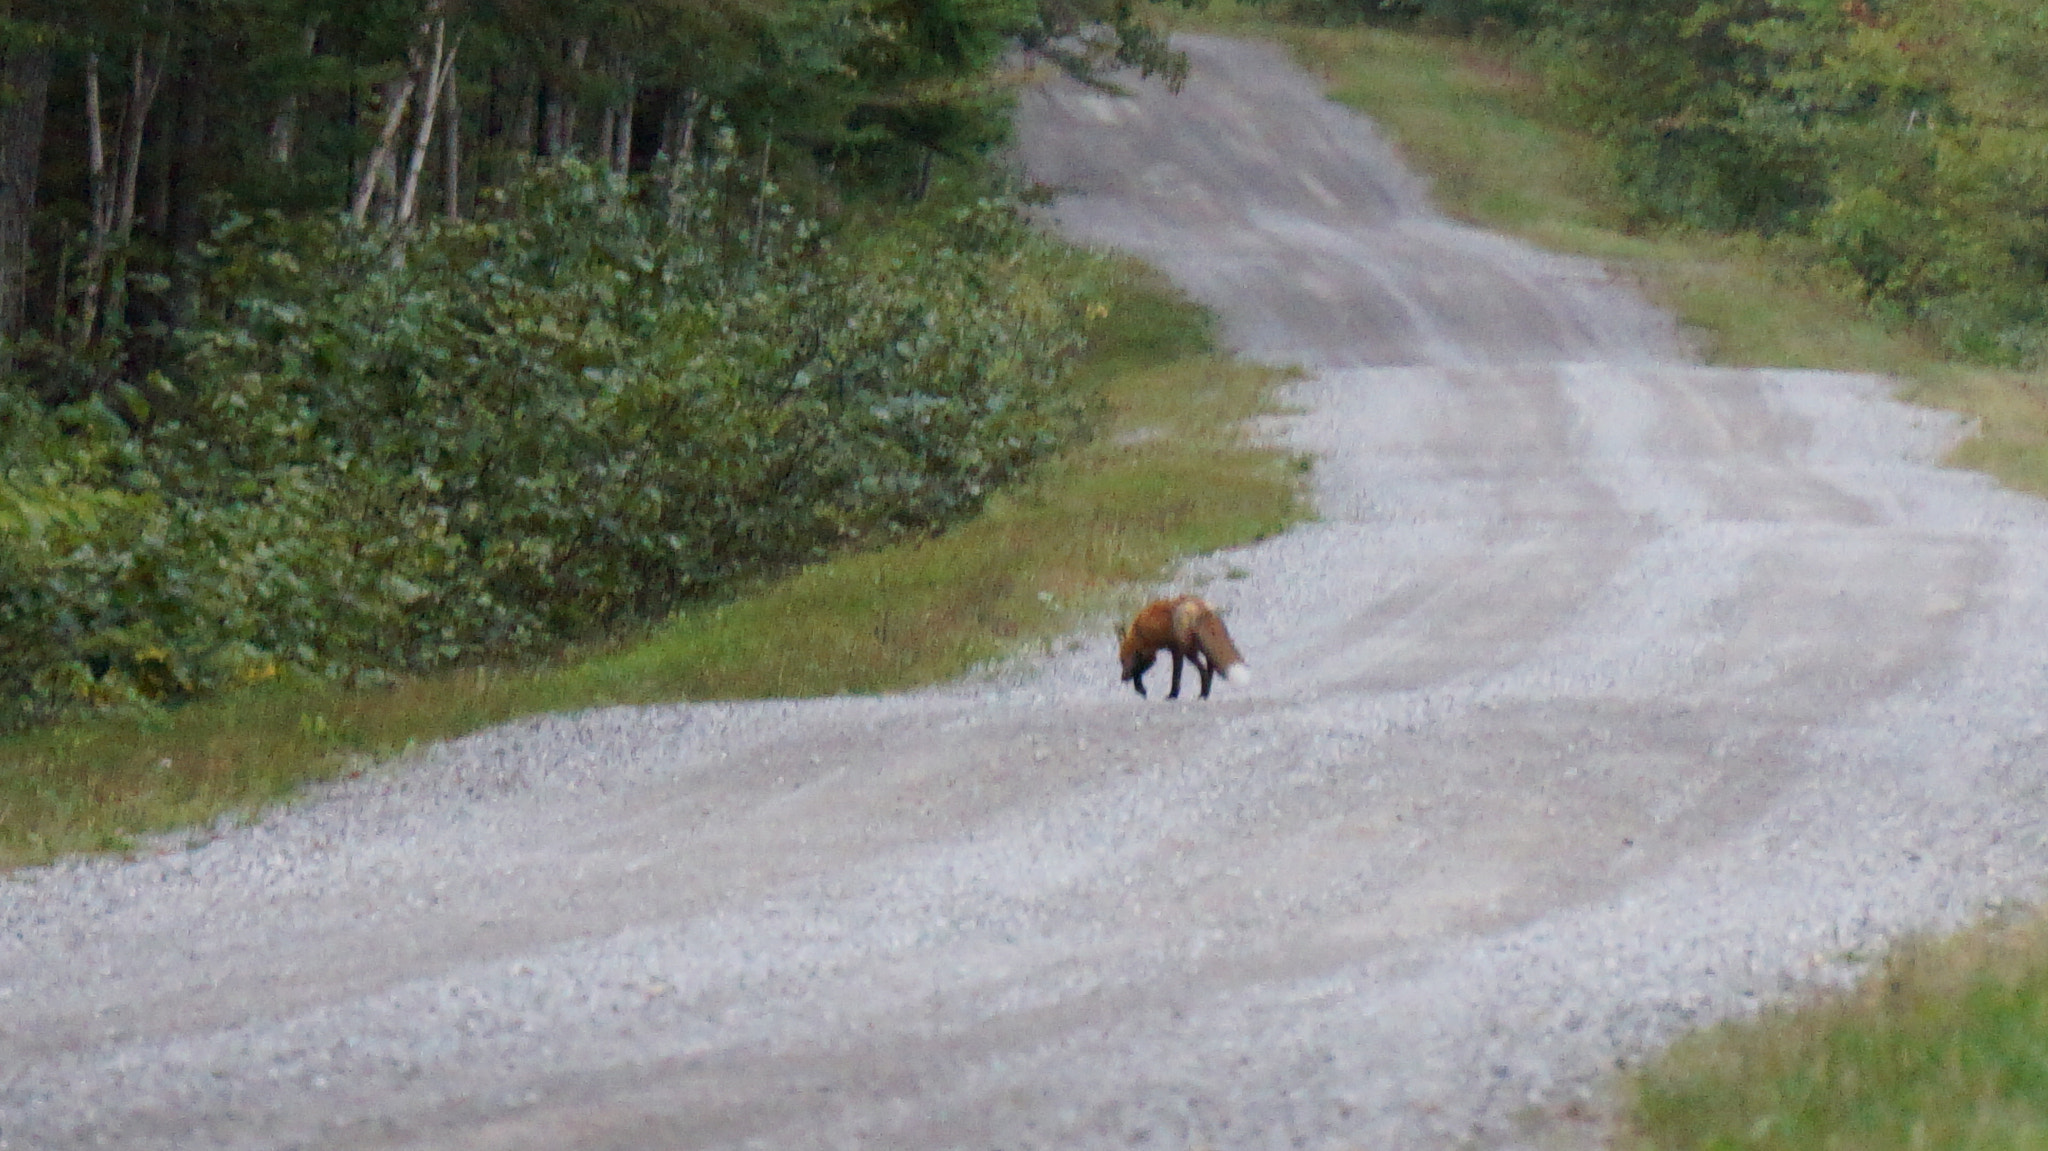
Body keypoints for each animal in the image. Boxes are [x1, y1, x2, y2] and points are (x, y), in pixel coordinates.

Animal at [1118, 594, 1252, 700]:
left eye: (1123, 661)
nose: (1122, 678)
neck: (1139, 631)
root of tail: (1202, 608)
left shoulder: (1156, 653)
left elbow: (1174, 676)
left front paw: (1171, 694)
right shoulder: (1159, 652)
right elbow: (1138, 672)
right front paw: (1141, 689)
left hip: (1189, 651)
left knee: (1203, 671)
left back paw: (1202, 694)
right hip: (1203, 649)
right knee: (1210, 669)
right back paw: (1205, 693)